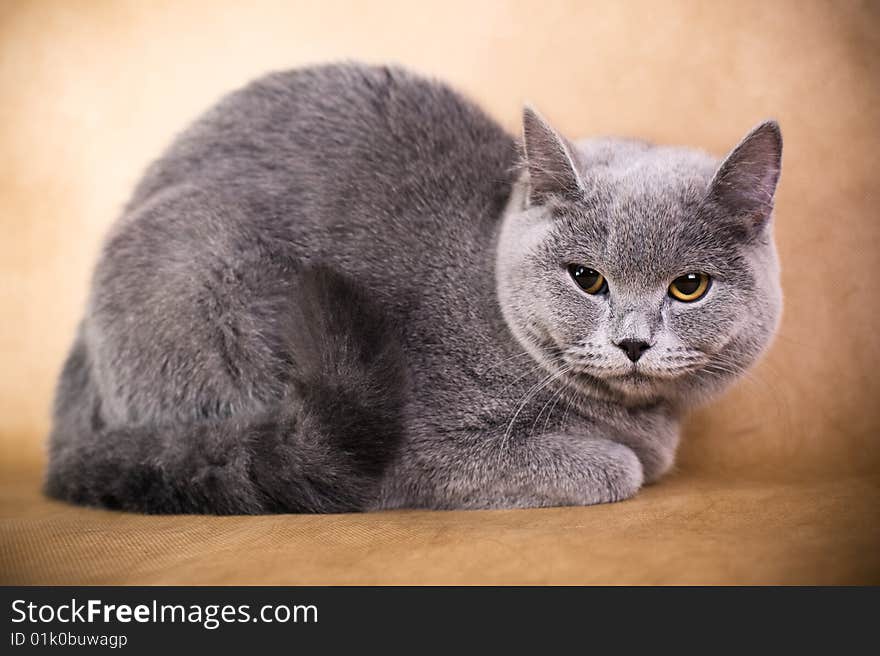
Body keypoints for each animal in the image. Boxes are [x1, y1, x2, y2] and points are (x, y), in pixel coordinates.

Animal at [44, 62, 780, 512]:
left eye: (689, 287)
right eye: (587, 278)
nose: (632, 343)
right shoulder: (421, 449)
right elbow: (618, 469)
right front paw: (621, 460)